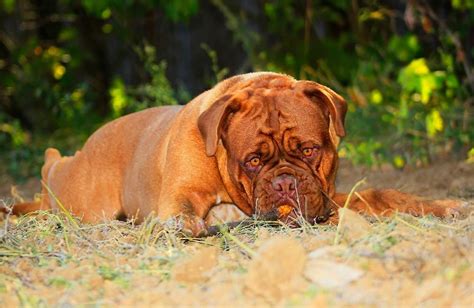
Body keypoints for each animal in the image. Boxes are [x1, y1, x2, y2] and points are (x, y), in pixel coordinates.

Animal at [8, 73, 462, 236]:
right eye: (254, 161)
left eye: (309, 150)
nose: (285, 182)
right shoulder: (180, 197)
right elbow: (184, 214)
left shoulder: (332, 196)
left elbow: (387, 196)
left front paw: (448, 206)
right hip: (80, 196)